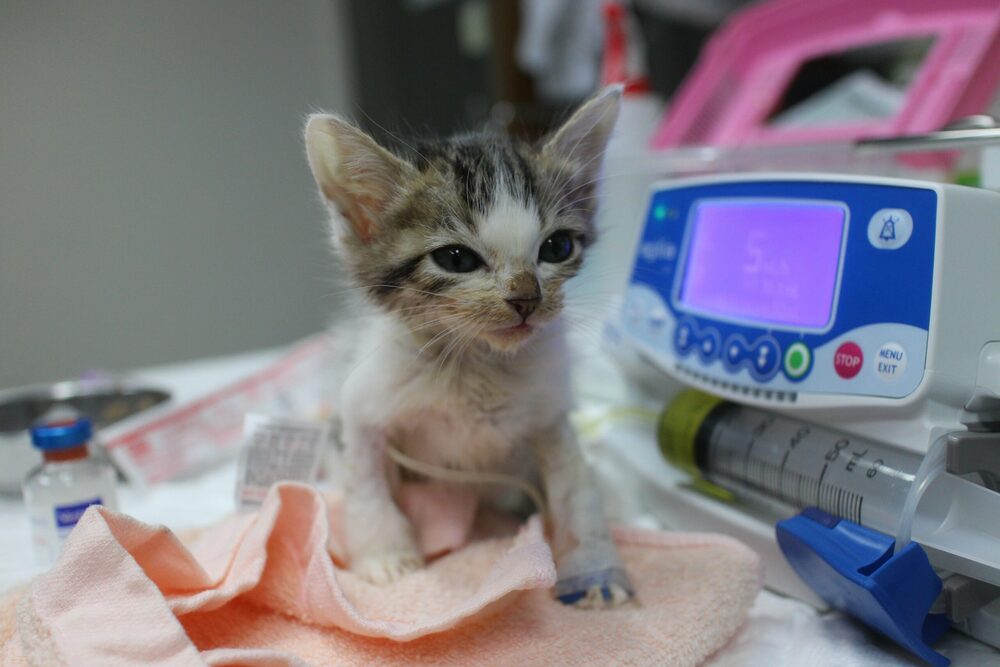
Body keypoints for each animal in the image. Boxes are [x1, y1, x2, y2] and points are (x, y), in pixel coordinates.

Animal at [304, 86, 632, 608]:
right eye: (456, 258)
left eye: (557, 247)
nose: (526, 298)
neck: (476, 364)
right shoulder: (362, 406)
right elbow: (365, 482)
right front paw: (386, 557)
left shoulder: (551, 414)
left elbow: (576, 489)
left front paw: (594, 568)